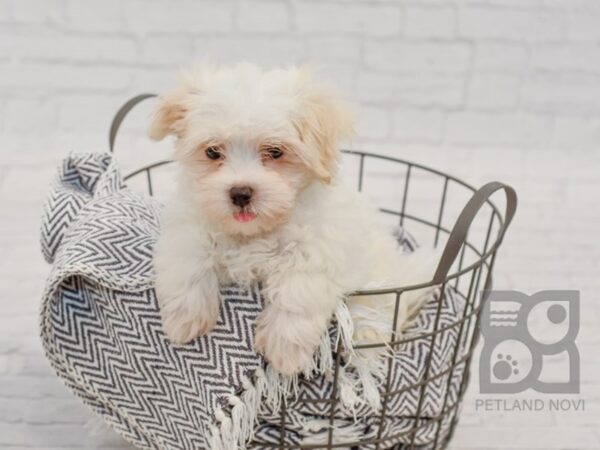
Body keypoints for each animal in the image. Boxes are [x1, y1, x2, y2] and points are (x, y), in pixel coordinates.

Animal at [147, 63, 436, 376]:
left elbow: (297, 290)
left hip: (377, 286)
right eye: (213, 151)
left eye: (275, 152)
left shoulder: (319, 246)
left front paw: (284, 349)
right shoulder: (189, 223)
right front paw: (184, 320)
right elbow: (187, 260)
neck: (254, 233)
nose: (240, 193)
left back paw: (365, 339)